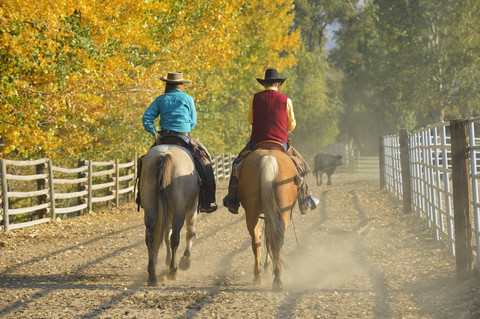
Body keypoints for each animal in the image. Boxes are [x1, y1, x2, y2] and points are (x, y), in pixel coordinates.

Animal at [140, 145, 200, 288]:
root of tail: (164, 155)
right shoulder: (192, 206)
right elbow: (190, 233)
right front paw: (185, 261)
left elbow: (165, 235)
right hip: (179, 210)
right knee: (175, 238)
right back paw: (173, 270)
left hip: (151, 208)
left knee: (150, 237)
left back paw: (152, 275)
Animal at [237, 144, 298, 292]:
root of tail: (269, 158)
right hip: (282, 212)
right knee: (277, 239)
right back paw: (276, 279)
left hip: (252, 211)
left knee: (256, 240)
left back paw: (259, 276)